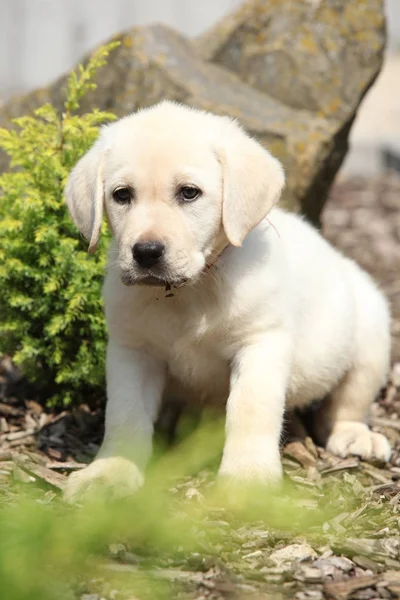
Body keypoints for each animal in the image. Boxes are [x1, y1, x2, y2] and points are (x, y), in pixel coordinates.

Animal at [63, 102, 390, 502]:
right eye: (122, 195)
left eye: (189, 193)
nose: (146, 252)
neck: (189, 291)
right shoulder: (132, 350)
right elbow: (125, 416)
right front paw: (111, 471)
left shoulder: (261, 344)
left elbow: (250, 409)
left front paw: (248, 477)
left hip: (371, 333)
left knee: (347, 403)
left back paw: (356, 436)